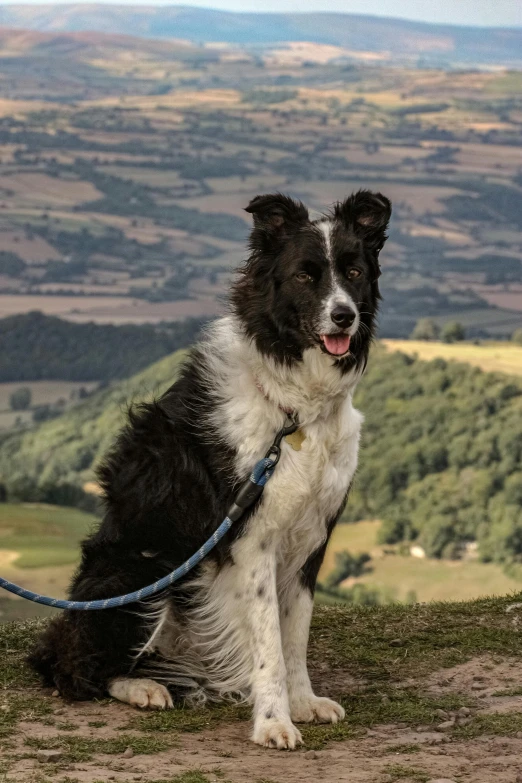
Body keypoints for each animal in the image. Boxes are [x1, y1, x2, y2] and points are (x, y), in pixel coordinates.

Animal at [27, 188, 386, 748]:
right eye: (305, 276)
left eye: (353, 272)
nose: (344, 316)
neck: (293, 410)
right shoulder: (251, 538)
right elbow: (270, 644)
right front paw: (274, 721)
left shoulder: (311, 537)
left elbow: (295, 634)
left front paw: (303, 702)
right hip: (139, 571)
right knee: (73, 668)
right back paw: (144, 688)